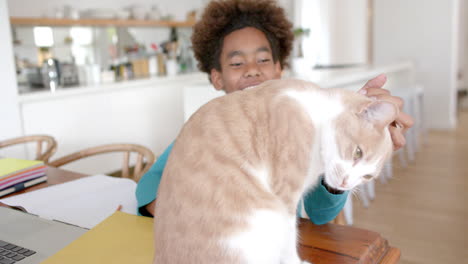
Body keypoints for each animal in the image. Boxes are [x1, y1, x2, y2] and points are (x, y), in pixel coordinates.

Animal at [152, 78, 396, 264]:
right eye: (357, 152)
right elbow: (289, 240)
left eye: (367, 176)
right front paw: (297, 262)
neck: (316, 112)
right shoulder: (285, 198)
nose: (346, 183)